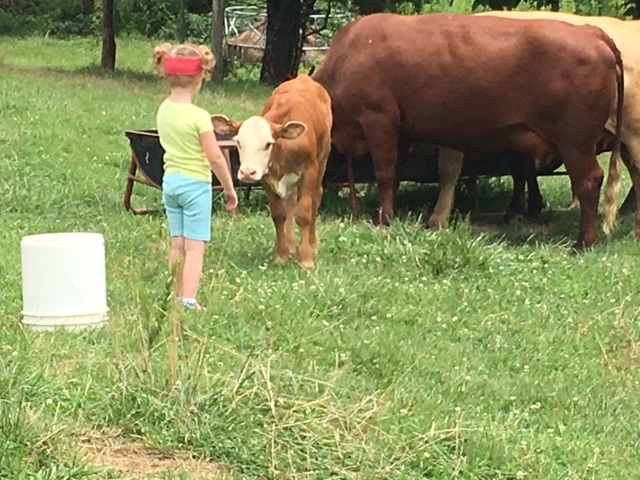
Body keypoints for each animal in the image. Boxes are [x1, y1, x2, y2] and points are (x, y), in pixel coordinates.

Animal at [212, 75, 332, 270]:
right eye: (238, 142)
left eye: (268, 144)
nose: (247, 172)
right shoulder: (266, 177)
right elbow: (279, 215)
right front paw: (281, 255)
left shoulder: (310, 170)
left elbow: (304, 213)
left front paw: (306, 258)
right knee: (290, 202)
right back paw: (290, 245)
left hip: (322, 159)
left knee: (316, 196)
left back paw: (312, 244)